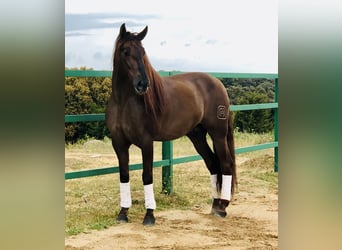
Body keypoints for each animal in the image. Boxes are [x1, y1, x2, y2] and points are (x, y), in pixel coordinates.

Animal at [105, 23, 236, 227]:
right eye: (126, 51)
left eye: (143, 52)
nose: (143, 84)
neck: (124, 102)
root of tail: (218, 83)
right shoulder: (118, 143)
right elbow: (124, 175)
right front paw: (123, 213)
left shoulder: (146, 142)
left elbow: (147, 175)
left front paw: (149, 215)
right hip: (197, 136)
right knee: (212, 163)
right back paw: (215, 205)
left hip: (218, 134)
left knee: (225, 163)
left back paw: (222, 206)